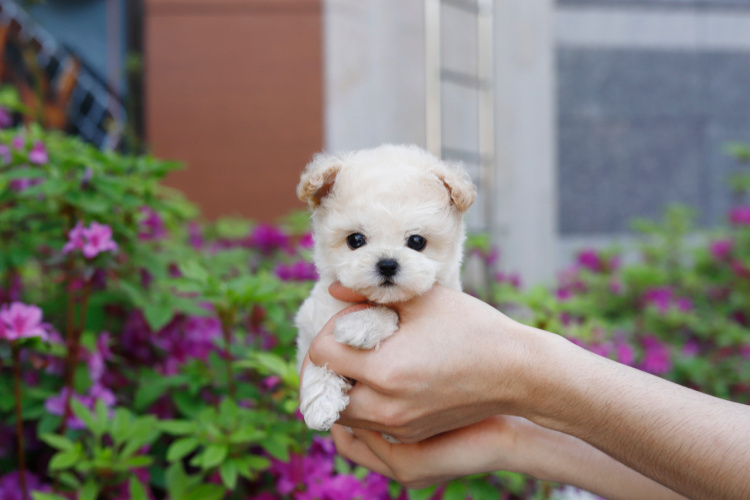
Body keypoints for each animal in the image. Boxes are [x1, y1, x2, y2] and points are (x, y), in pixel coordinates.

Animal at [296, 144, 476, 430]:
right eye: (356, 240)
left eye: (417, 241)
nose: (388, 264)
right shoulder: (311, 325)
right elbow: (317, 357)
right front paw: (321, 402)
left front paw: (361, 325)